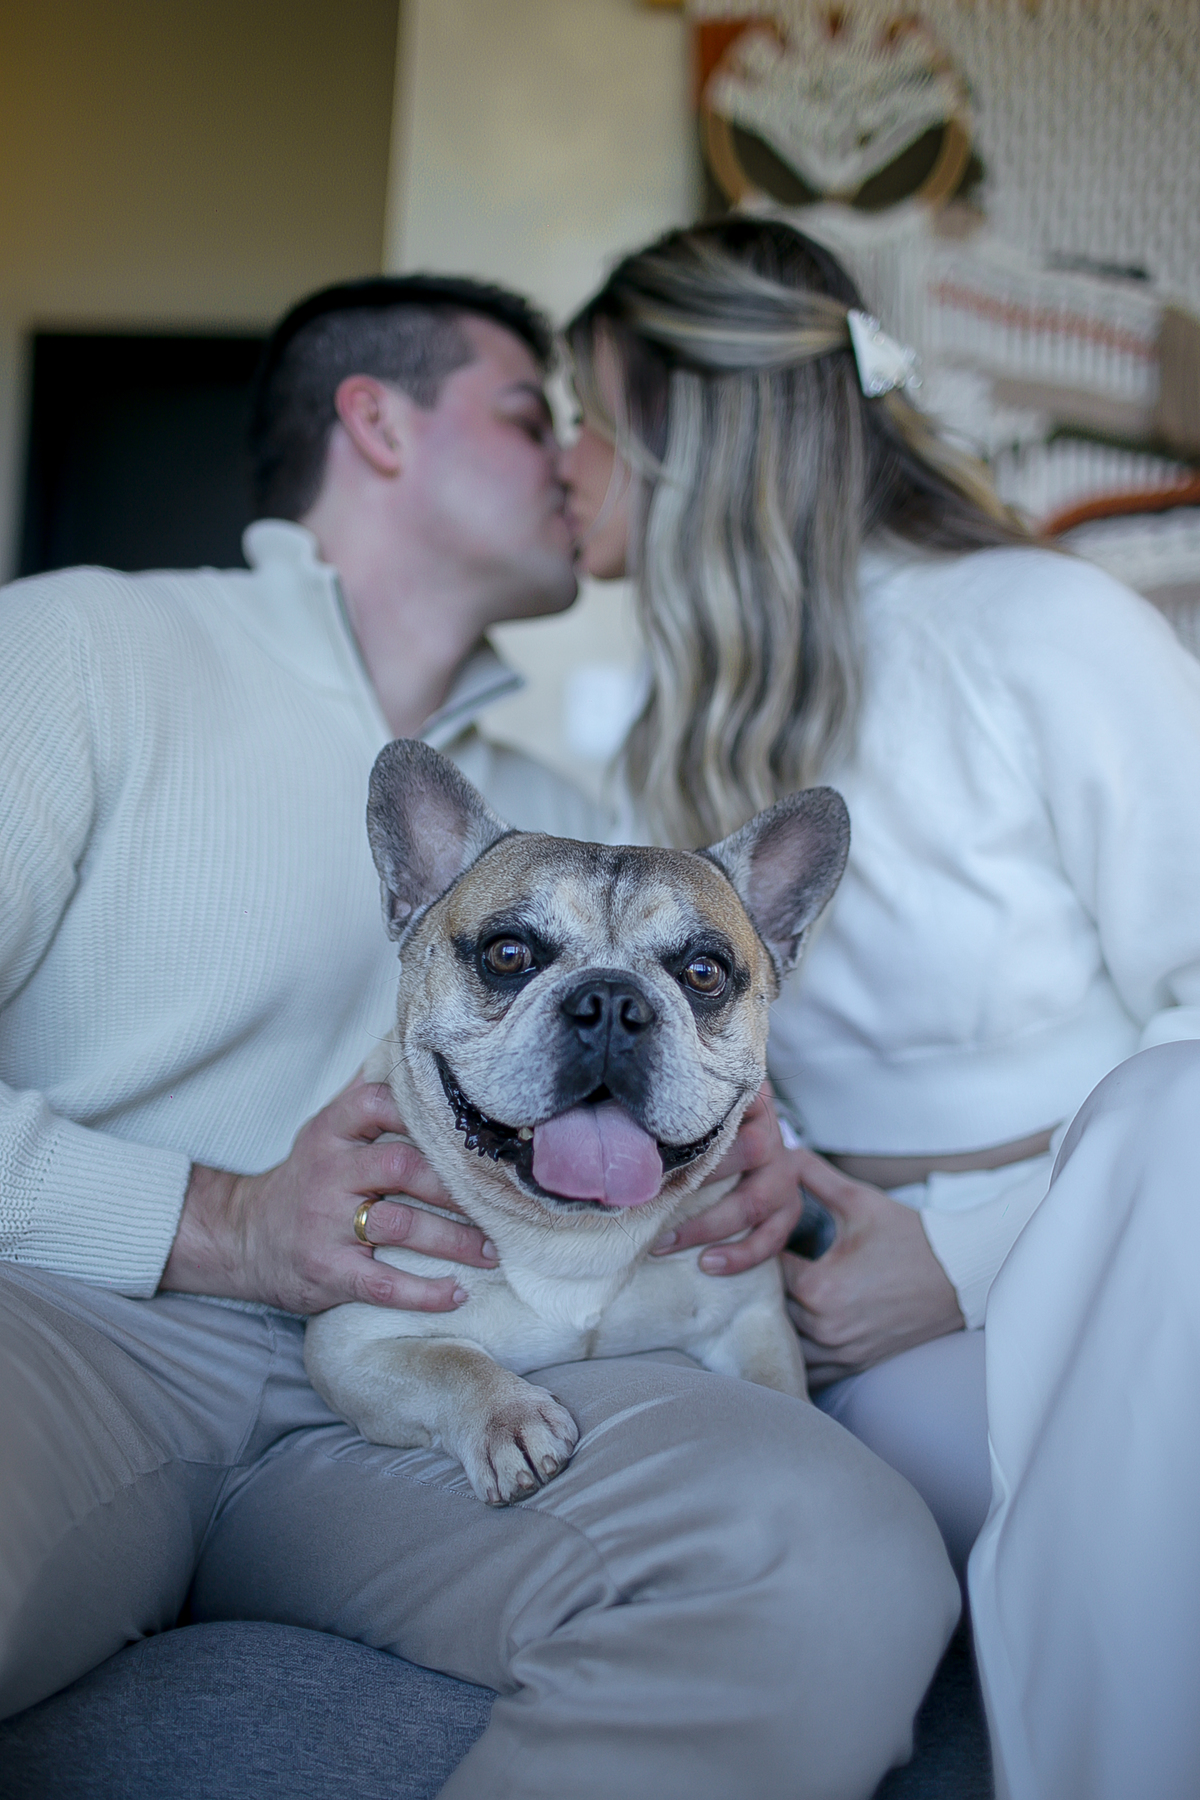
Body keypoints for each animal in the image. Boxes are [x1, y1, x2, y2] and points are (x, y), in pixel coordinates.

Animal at [305, 740, 849, 1505]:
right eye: (508, 953)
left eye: (704, 972)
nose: (612, 1001)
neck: (574, 1239)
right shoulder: (352, 1344)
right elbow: (448, 1361)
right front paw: (508, 1420)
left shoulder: (752, 1321)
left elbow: (780, 1392)